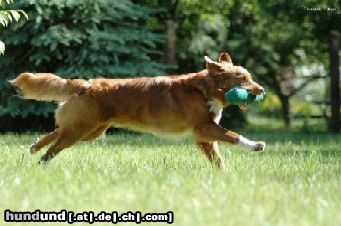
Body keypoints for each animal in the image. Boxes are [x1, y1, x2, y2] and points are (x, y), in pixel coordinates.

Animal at [11, 53, 266, 170]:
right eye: (241, 78)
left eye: (250, 77)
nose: (262, 90)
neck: (205, 89)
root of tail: (86, 84)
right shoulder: (205, 128)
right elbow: (233, 136)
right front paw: (256, 146)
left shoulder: (204, 137)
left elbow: (218, 159)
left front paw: (225, 175)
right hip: (82, 129)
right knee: (53, 148)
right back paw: (40, 165)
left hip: (91, 130)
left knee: (56, 131)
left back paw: (34, 146)